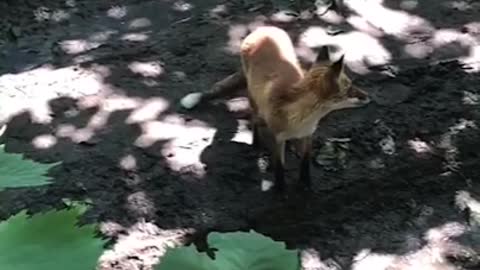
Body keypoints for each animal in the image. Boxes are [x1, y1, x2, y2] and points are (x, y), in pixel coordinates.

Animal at [180, 24, 372, 190]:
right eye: (349, 88)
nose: (368, 97)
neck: (301, 119)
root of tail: (263, 29)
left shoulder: (308, 134)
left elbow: (305, 162)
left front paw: (306, 185)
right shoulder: (278, 138)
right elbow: (279, 167)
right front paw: (280, 190)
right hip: (253, 98)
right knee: (254, 119)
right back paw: (256, 144)